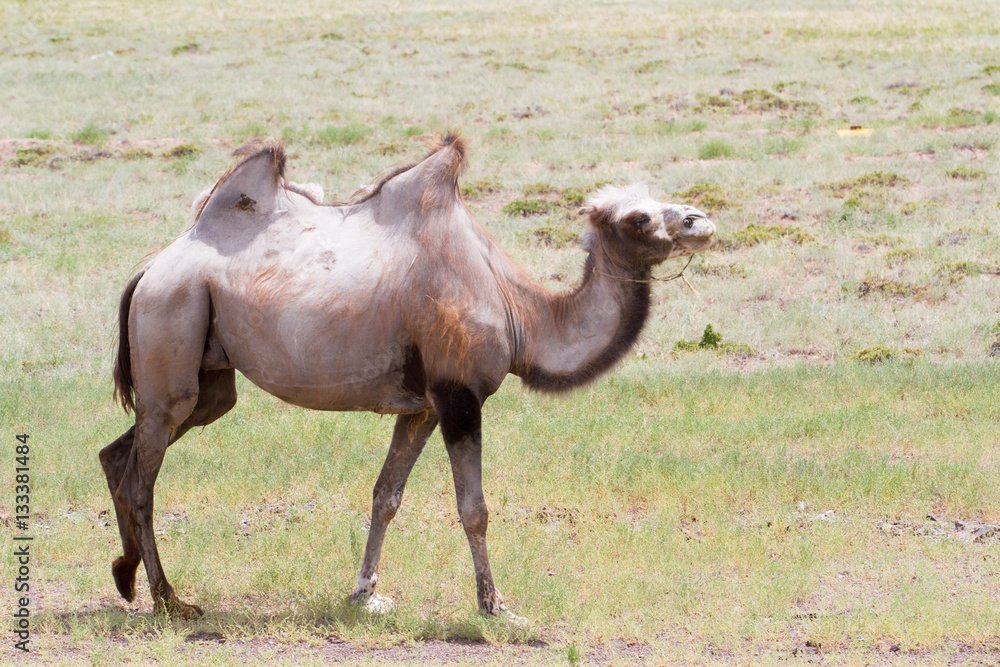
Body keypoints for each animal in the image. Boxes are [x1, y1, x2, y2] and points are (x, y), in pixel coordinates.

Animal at [100, 133, 716, 620]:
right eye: (638, 217)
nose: (701, 220)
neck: (519, 312)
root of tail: (150, 269)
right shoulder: (459, 393)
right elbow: (474, 508)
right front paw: (495, 606)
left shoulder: (422, 405)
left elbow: (386, 495)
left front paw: (365, 594)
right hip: (172, 323)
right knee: (144, 479)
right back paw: (169, 599)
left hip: (205, 379)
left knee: (120, 453)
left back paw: (125, 576)